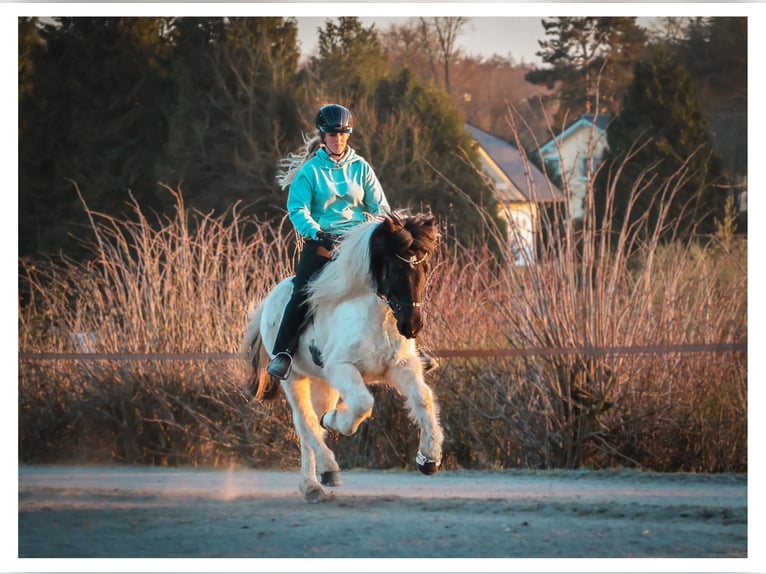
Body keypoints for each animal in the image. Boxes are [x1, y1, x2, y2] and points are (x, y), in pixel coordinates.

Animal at [243, 212, 444, 503]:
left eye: (425, 268)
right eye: (395, 268)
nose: (412, 326)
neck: (377, 317)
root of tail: (271, 297)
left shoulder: (400, 367)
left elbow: (423, 398)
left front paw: (429, 458)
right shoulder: (342, 368)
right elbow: (362, 403)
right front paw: (336, 420)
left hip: (323, 383)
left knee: (312, 425)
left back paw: (317, 481)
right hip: (294, 378)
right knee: (305, 422)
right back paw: (322, 474)